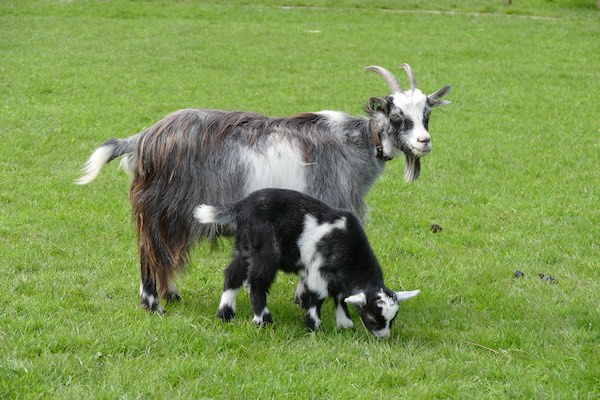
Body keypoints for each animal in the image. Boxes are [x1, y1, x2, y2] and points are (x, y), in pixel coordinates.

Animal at [76, 63, 450, 312]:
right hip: (161, 210)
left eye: (427, 114)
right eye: (396, 114)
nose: (424, 142)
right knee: (149, 250)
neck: (354, 144)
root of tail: (141, 140)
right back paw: (154, 304)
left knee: (163, 252)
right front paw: (306, 302)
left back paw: (171, 294)